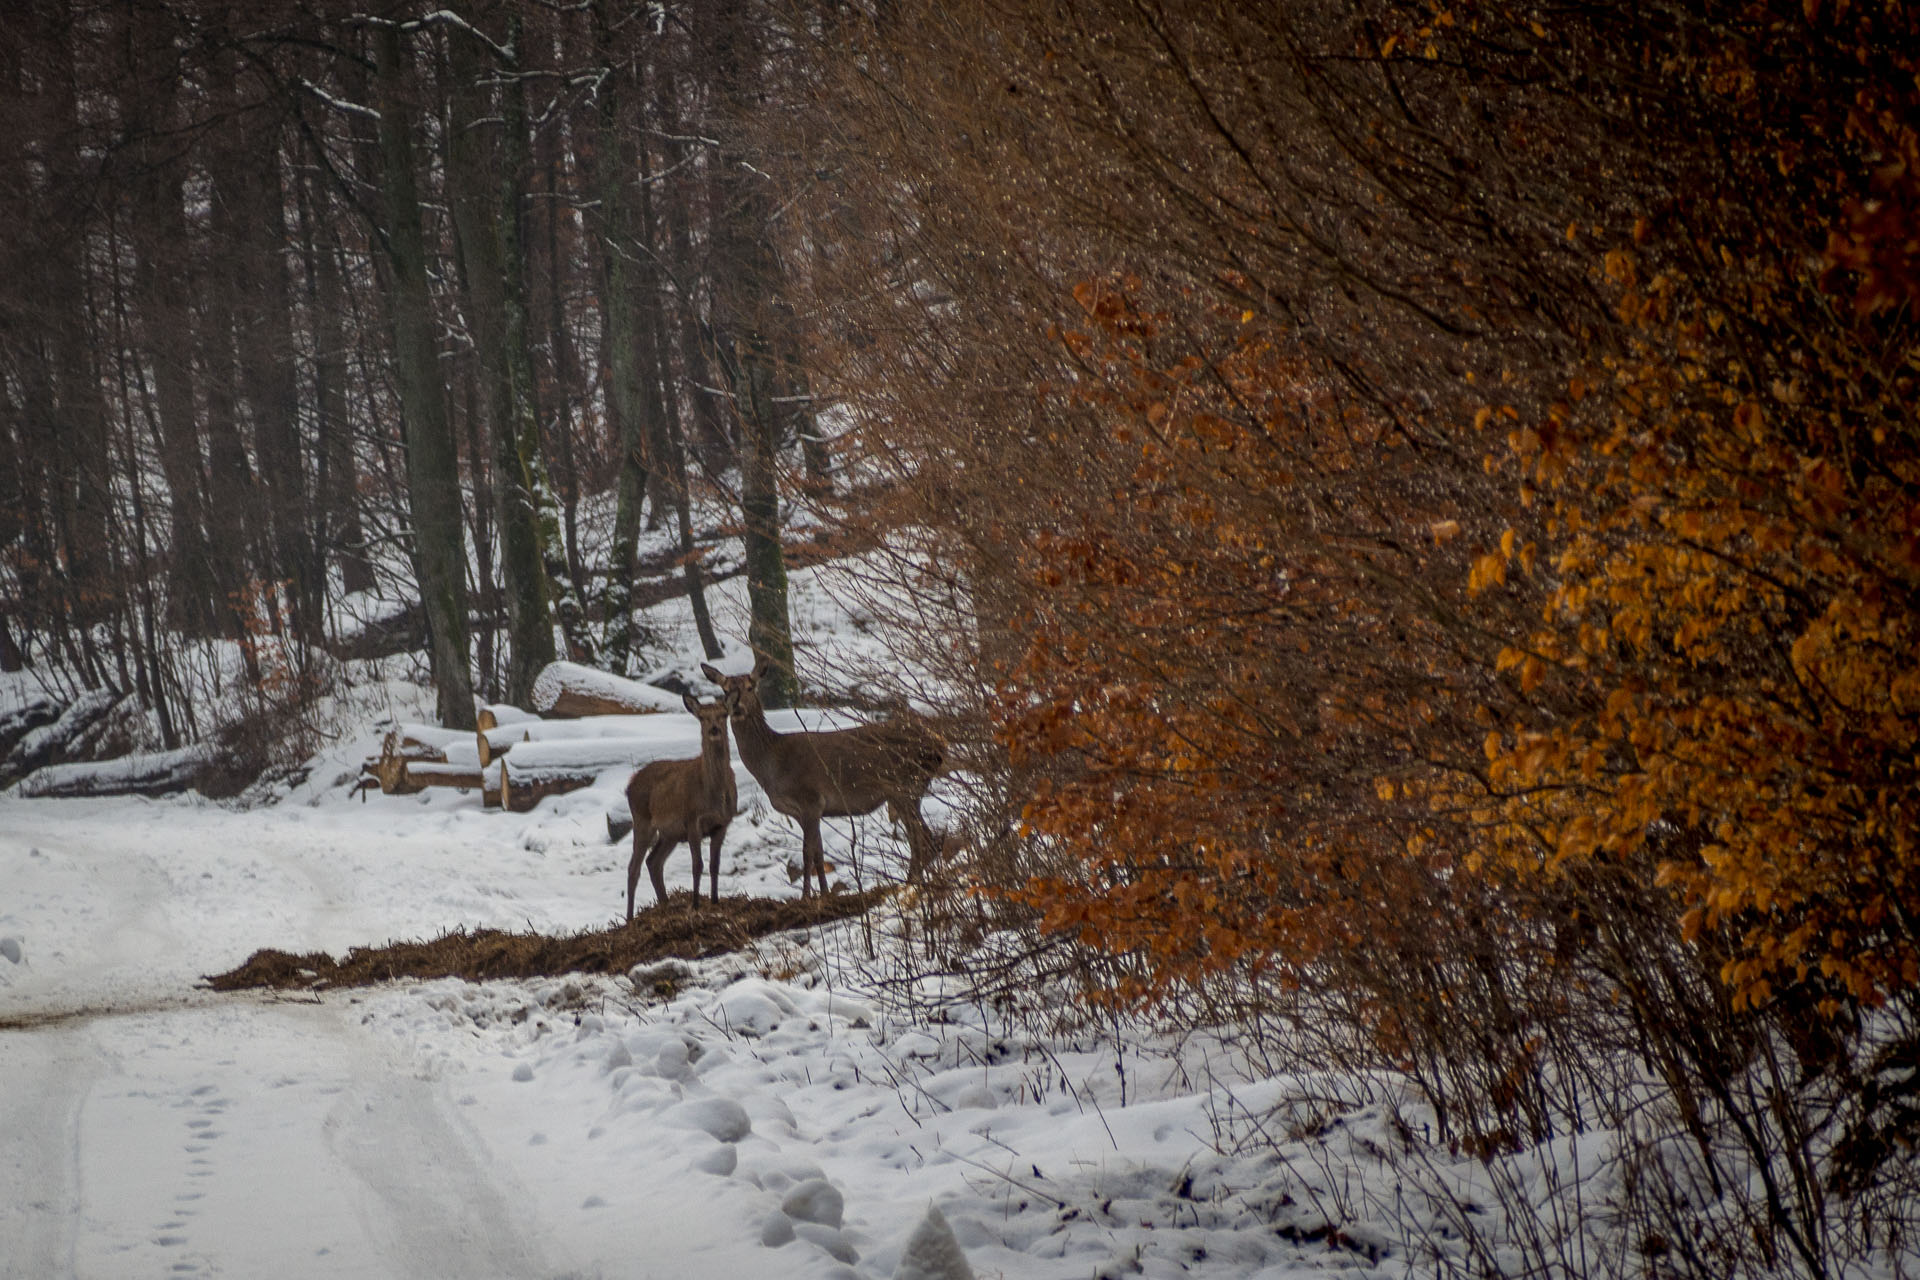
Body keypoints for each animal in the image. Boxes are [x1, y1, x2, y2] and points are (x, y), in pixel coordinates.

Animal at [622, 694, 733, 917]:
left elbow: (714, 865)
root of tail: (629, 785)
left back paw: (665, 903)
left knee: (653, 862)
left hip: (670, 834)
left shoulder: (722, 824)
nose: (714, 729)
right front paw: (696, 904)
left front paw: (715, 901)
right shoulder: (692, 820)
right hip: (642, 819)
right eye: (702, 717)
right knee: (633, 868)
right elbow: (697, 864)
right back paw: (629, 918)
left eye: (724, 714)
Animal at [706, 660, 944, 901]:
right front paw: (824, 893)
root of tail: (938, 742)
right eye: (725, 690)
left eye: (750, 687)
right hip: (905, 791)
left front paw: (806, 898)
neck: (771, 765)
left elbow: (806, 853)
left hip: (905, 785)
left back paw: (910, 885)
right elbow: (818, 853)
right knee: (921, 839)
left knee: (924, 839)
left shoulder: (810, 799)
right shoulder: (805, 811)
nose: (736, 706)